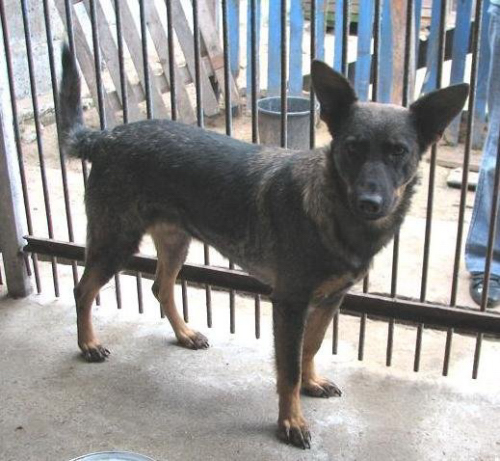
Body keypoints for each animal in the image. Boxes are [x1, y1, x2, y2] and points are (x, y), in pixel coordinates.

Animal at [59, 43, 468, 449]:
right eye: (353, 148)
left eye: (399, 152)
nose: (370, 203)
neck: (333, 212)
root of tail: (106, 137)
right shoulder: (289, 304)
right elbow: (288, 369)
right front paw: (290, 422)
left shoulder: (330, 300)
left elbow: (311, 347)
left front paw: (310, 383)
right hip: (116, 242)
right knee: (83, 289)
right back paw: (88, 344)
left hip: (175, 242)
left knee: (161, 287)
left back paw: (184, 334)